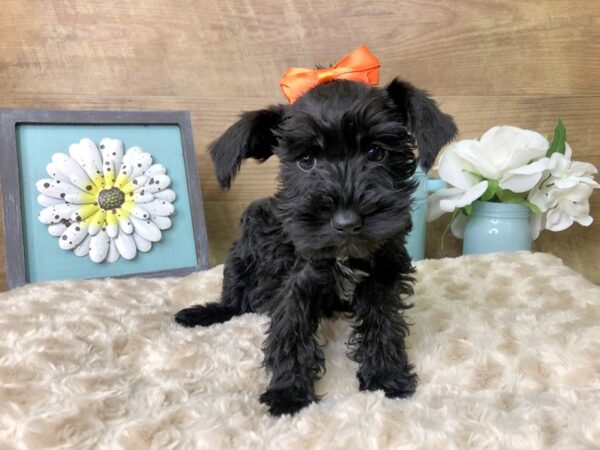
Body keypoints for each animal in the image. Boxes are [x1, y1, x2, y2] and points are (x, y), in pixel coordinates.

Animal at [176, 76, 458, 414]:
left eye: (376, 152)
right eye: (306, 160)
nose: (346, 222)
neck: (344, 258)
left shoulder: (384, 275)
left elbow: (383, 324)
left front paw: (386, 377)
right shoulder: (295, 284)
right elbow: (290, 331)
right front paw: (288, 393)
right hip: (241, 259)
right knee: (235, 301)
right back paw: (199, 314)